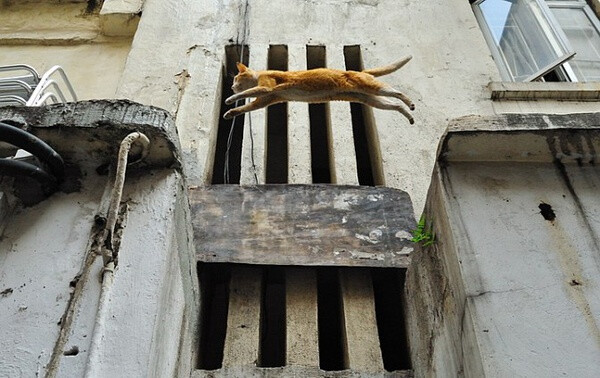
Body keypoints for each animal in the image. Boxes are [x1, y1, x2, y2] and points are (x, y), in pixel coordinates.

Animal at [223, 55, 414, 123]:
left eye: (236, 78)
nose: (231, 86)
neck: (258, 75)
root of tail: (360, 71)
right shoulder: (265, 100)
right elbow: (247, 107)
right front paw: (230, 113)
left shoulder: (266, 86)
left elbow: (246, 94)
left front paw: (230, 99)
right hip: (368, 98)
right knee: (395, 105)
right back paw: (410, 116)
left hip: (371, 87)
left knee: (397, 92)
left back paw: (410, 103)